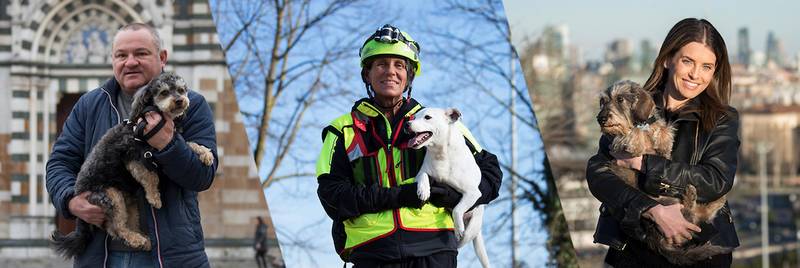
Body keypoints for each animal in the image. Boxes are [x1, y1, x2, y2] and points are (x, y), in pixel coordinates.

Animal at [52, 72, 216, 258]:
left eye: (181, 90)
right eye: (164, 92)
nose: (180, 100)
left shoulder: (165, 146)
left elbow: (189, 144)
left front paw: (205, 153)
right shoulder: (134, 157)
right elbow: (151, 177)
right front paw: (154, 198)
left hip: (129, 203)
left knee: (119, 225)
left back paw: (142, 238)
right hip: (111, 195)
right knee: (116, 228)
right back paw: (136, 238)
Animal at [410, 107, 490, 268]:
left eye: (427, 117)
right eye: (414, 117)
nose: (407, 124)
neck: (441, 154)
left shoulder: (472, 193)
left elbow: (458, 209)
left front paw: (458, 227)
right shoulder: (421, 173)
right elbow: (423, 176)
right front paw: (423, 190)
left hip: (471, 230)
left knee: (461, 240)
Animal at [592, 80, 732, 266]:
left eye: (620, 99)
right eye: (602, 101)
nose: (600, 119)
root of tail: (656, 242)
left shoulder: (653, 124)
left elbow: (662, 127)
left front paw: (664, 144)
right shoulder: (615, 144)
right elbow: (629, 133)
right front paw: (636, 141)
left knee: (700, 216)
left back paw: (712, 199)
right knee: (693, 215)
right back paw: (693, 195)